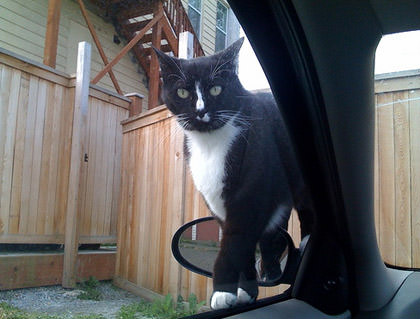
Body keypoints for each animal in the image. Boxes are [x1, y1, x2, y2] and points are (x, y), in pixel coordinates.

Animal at [153, 37, 312, 310]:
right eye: (182, 92)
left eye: (216, 89)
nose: (200, 111)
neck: (210, 145)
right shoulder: (217, 203)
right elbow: (243, 245)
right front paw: (246, 290)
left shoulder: (250, 194)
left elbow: (234, 243)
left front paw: (223, 292)